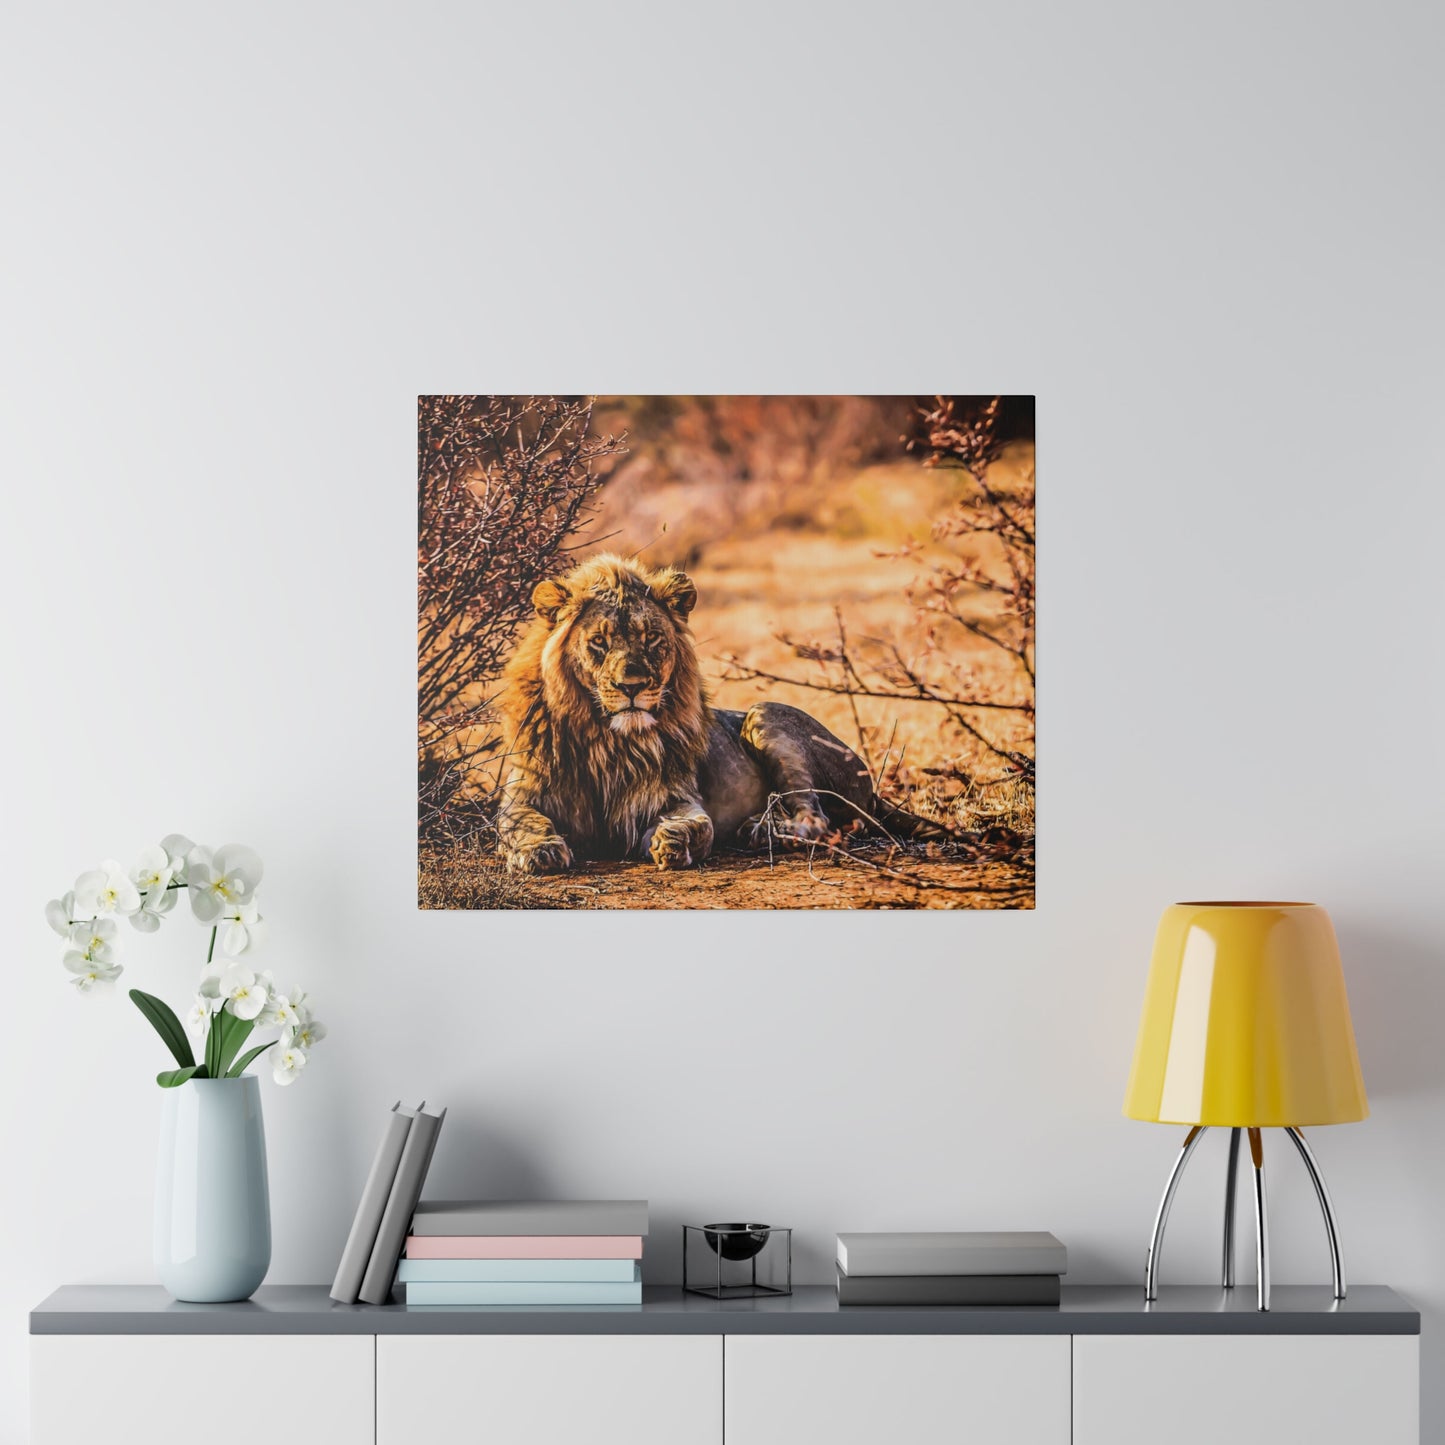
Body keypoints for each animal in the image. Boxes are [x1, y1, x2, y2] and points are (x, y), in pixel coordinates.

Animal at [494, 549, 947, 867]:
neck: (608, 740)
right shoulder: (523, 794)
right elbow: (520, 823)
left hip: (766, 715)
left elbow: (699, 824)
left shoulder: (674, 796)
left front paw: (673, 841)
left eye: (652, 639)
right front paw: (539, 851)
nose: (632, 687)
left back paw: (762, 831)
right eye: (599, 642)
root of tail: (871, 786)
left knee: (816, 820)